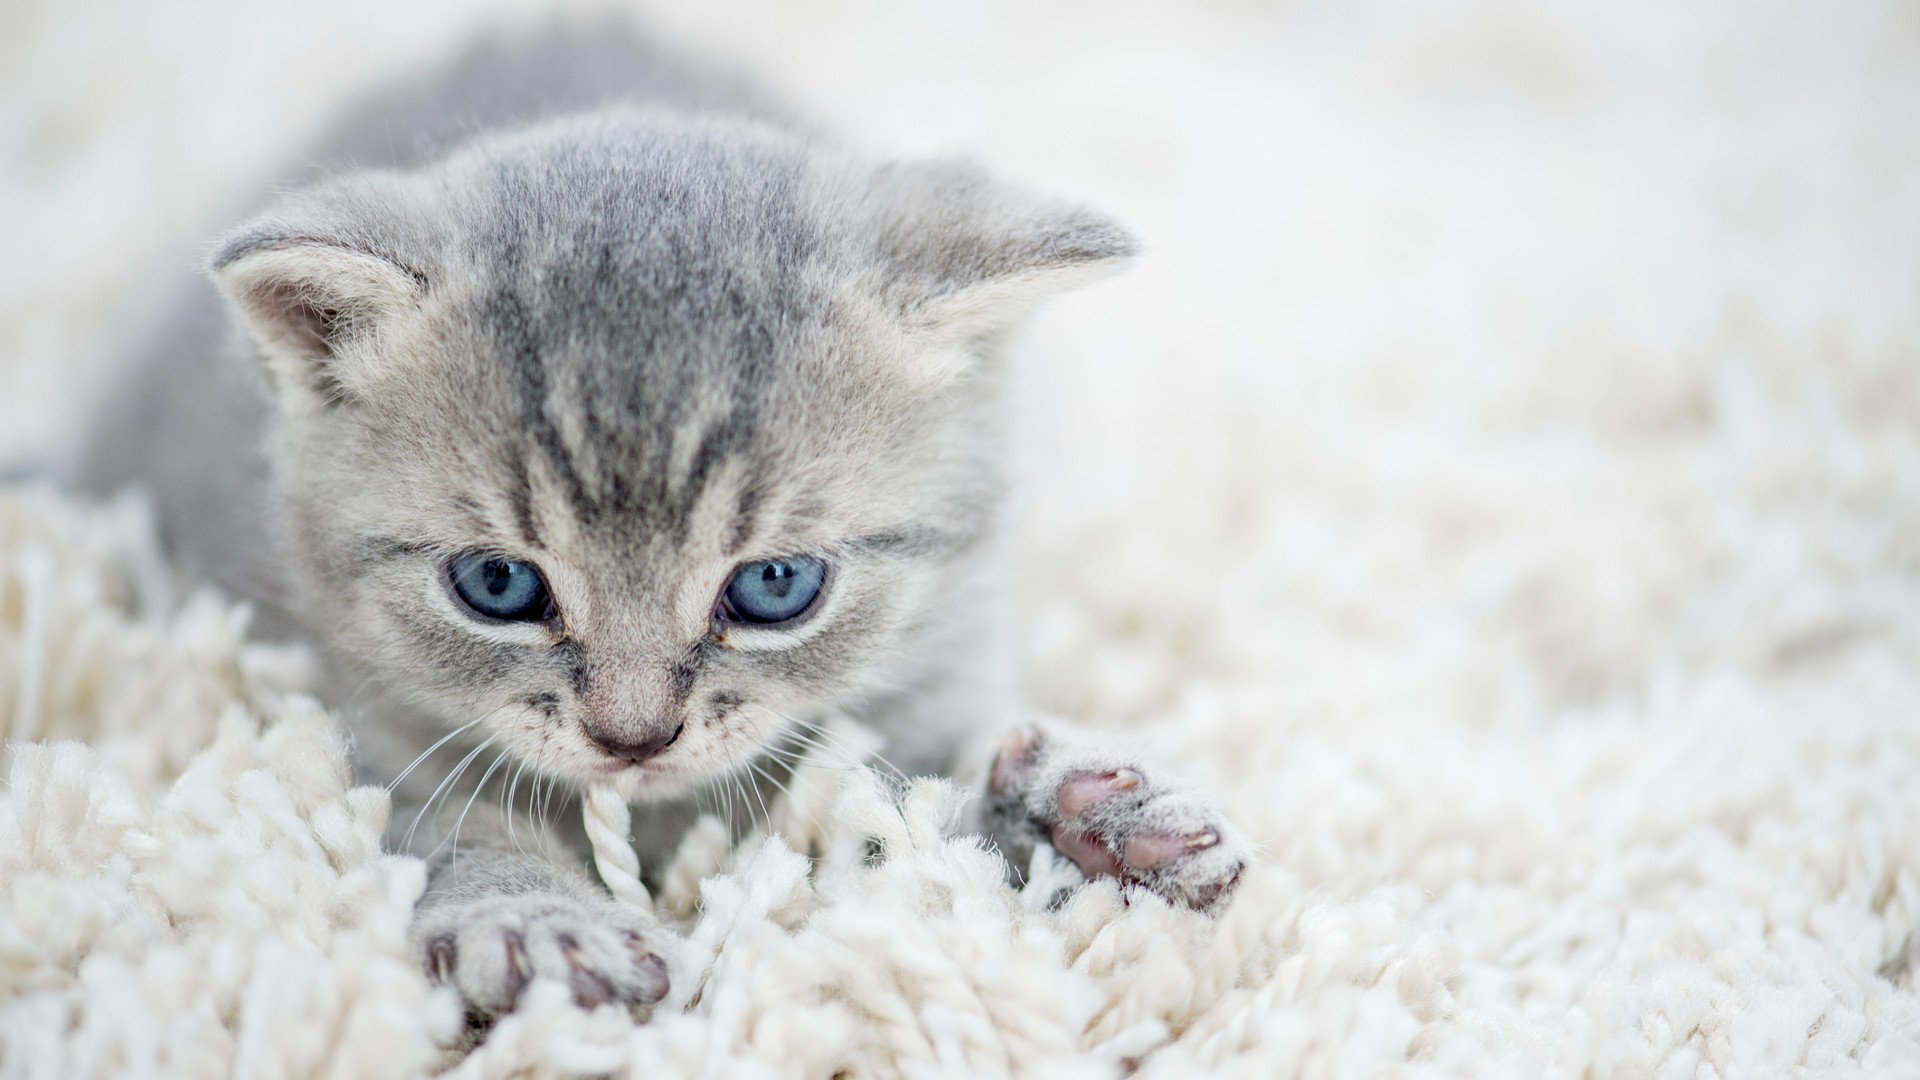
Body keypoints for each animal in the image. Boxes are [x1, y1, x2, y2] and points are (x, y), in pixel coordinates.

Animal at [67, 25, 1251, 1014]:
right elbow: (438, 819)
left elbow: (910, 801)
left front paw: (1081, 817)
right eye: (498, 586)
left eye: (775, 587)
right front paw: (527, 910)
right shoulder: (350, 714)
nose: (632, 736)